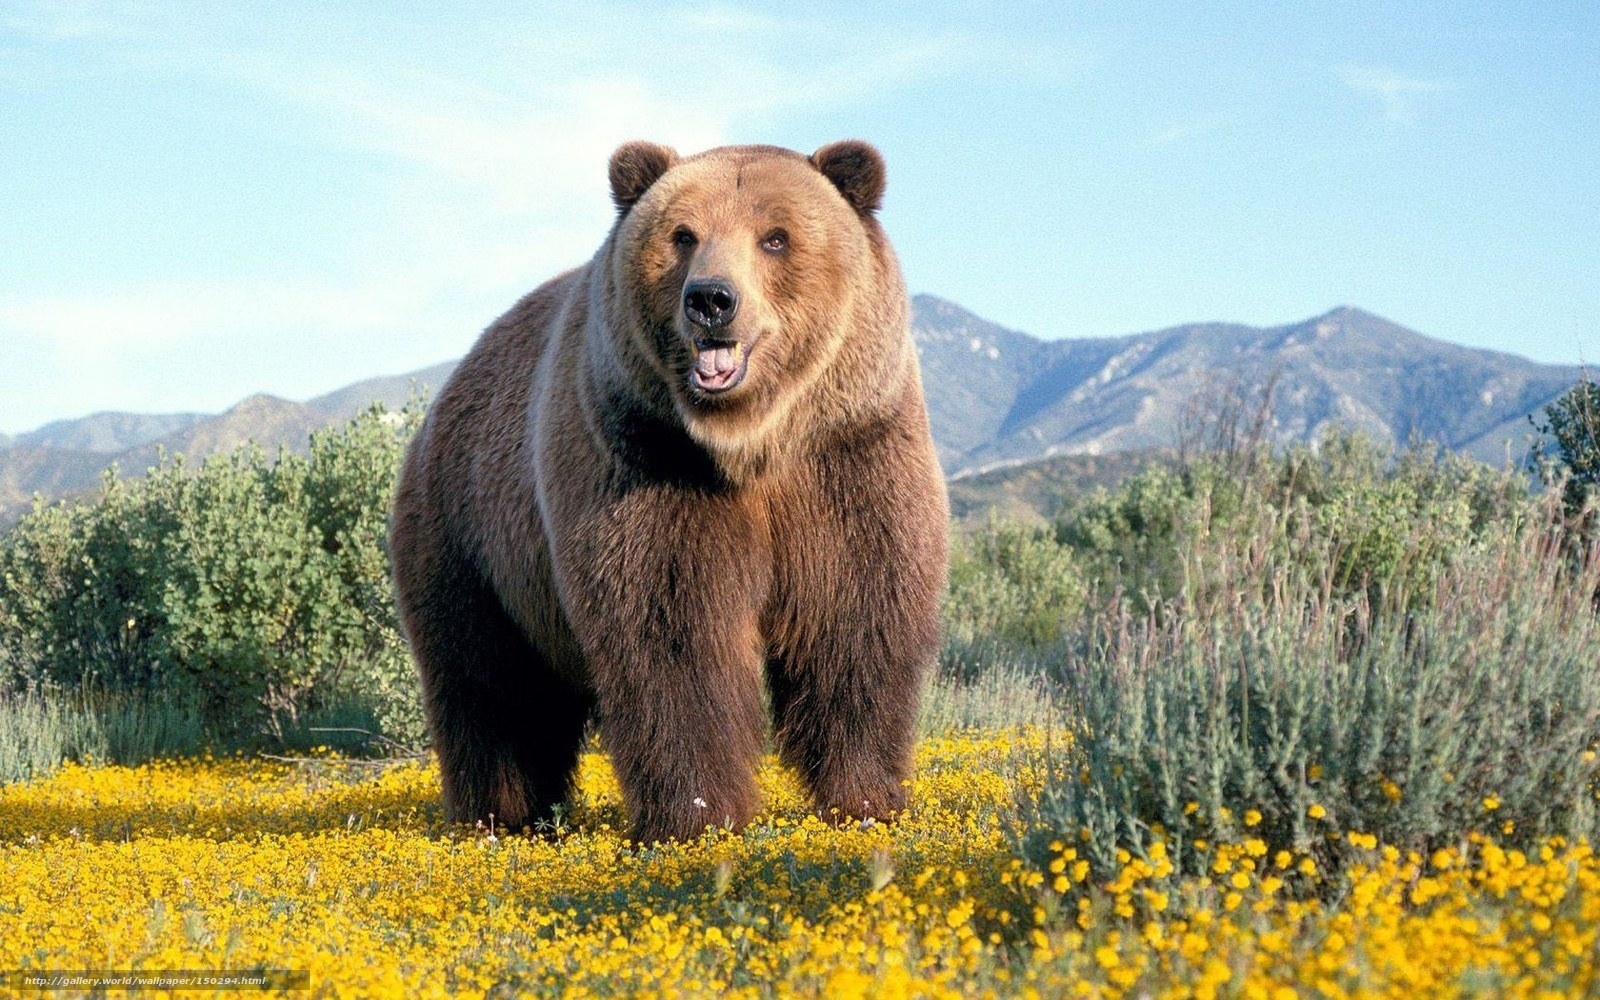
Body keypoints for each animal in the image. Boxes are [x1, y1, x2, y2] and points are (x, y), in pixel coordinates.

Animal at [388, 140, 949, 844]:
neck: (750, 443)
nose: (711, 299)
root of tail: (445, 394)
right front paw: (699, 815)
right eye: (683, 235)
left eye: (775, 237)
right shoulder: (646, 463)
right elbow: (672, 633)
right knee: (490, 685)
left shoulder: (849, 456)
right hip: (471, 537)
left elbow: (856, 616)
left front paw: (866, 799)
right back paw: (500, 815)